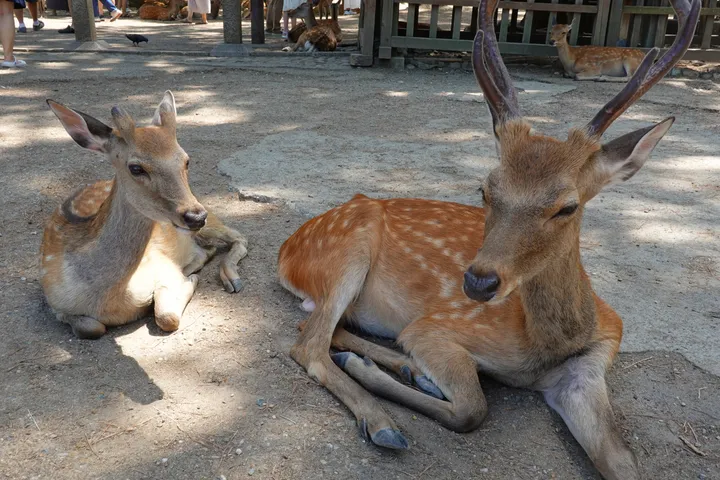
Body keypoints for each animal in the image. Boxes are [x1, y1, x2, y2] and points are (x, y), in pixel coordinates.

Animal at [40, 91, 248, 340]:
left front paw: (189, 282)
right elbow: (91, 328)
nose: (195, 216)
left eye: (186, 160)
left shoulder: (163, 267)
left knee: (239, 237)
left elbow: (166, 316)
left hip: (211, 219)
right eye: (136, 168)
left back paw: (230, 278)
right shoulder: (54, 303)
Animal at [277, 0, 700, 478]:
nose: (478, 282)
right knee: (309, 342)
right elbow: (472, 409)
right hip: (350, 246)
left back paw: (406, 372)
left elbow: (623, 460)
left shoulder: (591, 366)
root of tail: (286, 251)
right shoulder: (434, 327)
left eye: (567, 206)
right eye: (485, 189)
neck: (545, 348)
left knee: (325, 329)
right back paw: (383, 418)